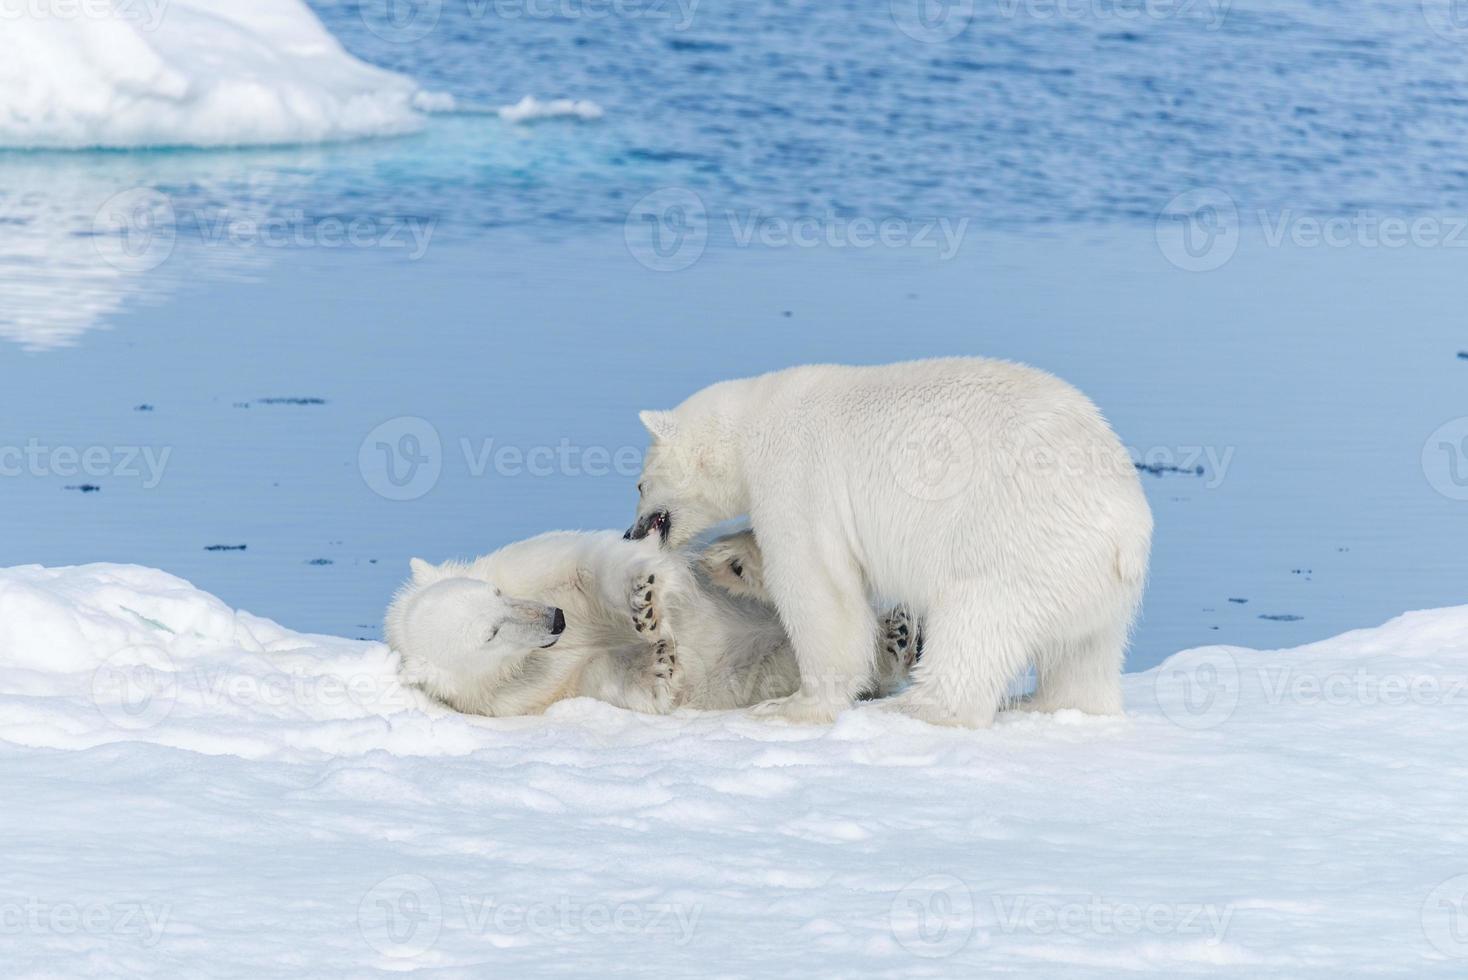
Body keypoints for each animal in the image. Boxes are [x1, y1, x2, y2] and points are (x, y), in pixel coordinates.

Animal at [384, 528, 910, 718]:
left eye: (494, 594)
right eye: (490, 633)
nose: (556, 619)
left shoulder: (531, 566)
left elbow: (593, 567)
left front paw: (646, 600)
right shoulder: (518, 694)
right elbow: (597, 677)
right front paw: (658, 663)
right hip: (754, 672)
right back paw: (894, 641)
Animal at [625, 357, 1150, 727]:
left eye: (639, 485)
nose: (631, 532)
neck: (755, 419)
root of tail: (1128, 529)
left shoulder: (798, 473)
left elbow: (818, 585)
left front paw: (795, 706)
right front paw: (727, 559)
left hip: (1019, 537)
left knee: (978, 621)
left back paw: (917, 707)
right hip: (1090, 582)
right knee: (1085, 653)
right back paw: (1046, 703)